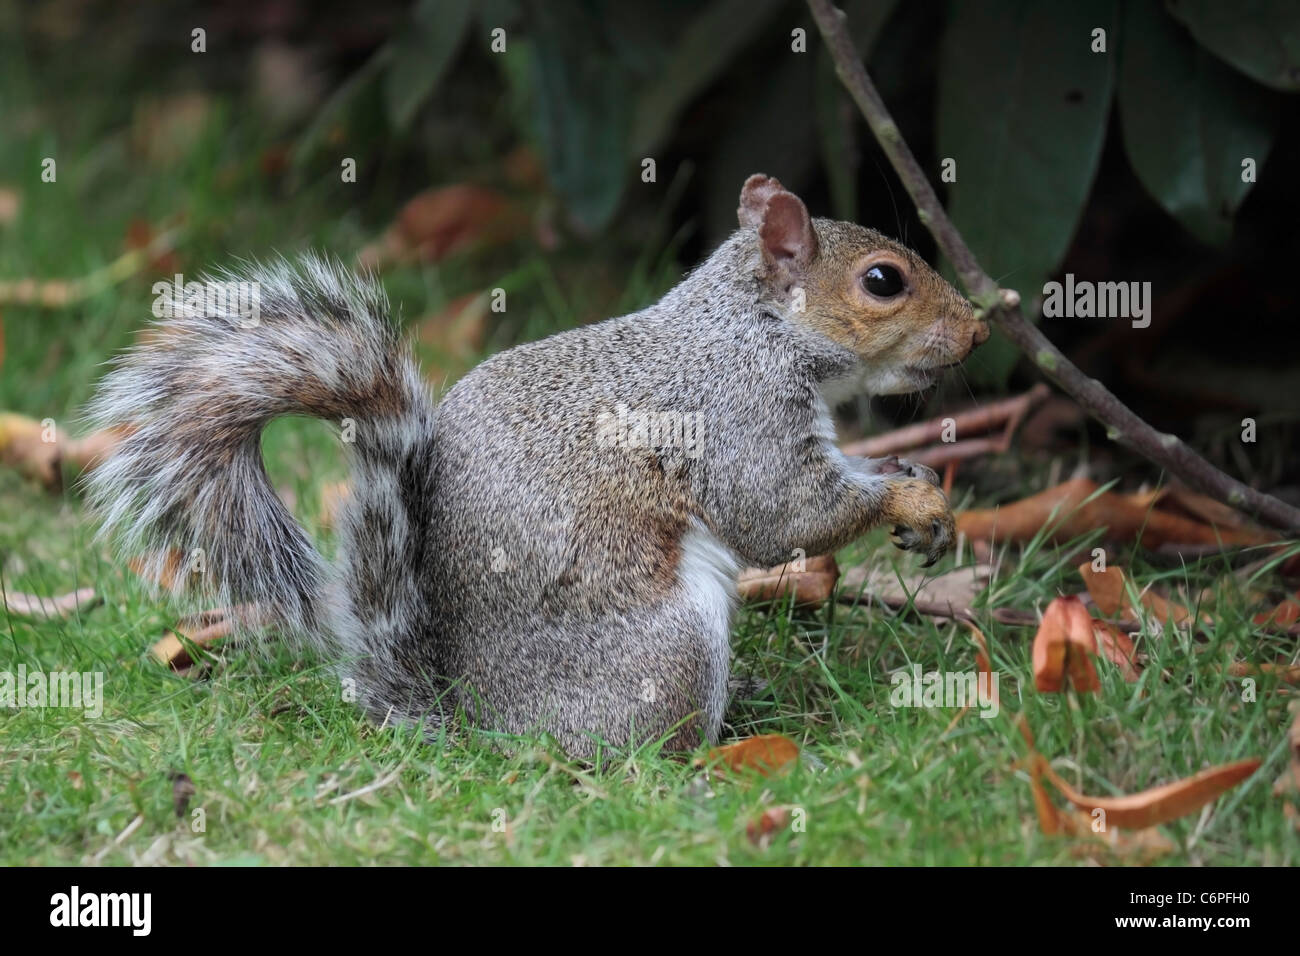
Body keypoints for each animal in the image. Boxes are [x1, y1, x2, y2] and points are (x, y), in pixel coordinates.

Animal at [86, 171, 982, 754]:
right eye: (883, 281)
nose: (978, 329)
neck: (753, 328)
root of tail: (480, 725)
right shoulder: (737, 413)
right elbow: (784, 513)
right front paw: (911, 504)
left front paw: (922, 490)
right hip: (671, 647)